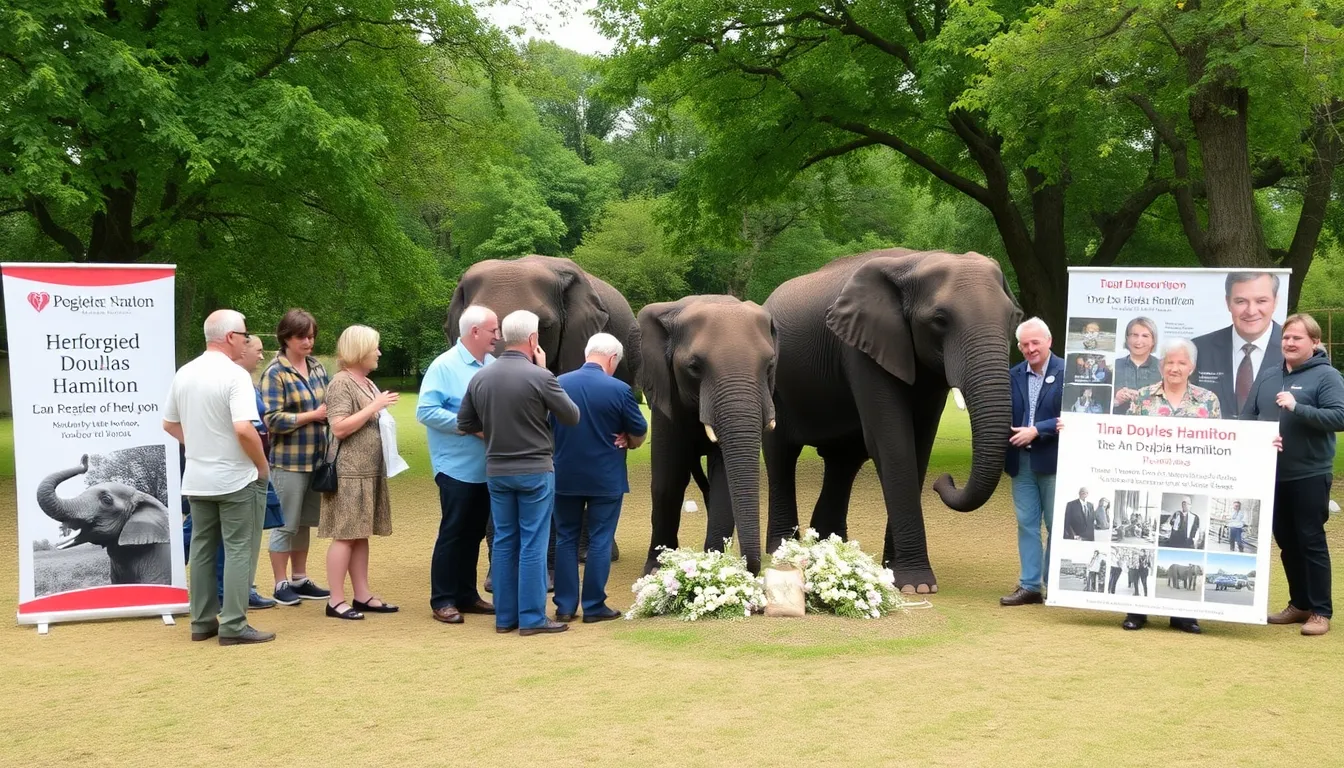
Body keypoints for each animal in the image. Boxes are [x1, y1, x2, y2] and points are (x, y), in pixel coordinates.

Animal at [638, 296, 777, 575]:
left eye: (770, 366)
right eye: (694, 367)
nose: (752, 568)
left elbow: (723, 480)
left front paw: (715, 565)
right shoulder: (667, 399)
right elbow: (669, 481)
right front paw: (656, 570)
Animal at [763, 248, 1021, 594]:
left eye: (1013, 318)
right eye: (940, 321)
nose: (946, 481)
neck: (915, 262)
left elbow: (920, 446)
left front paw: (895, 571)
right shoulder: (860, 349)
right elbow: (893, 444)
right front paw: (918, 586)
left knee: (843, 461)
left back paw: (832, 546)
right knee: (781, 455)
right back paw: (783, 549)